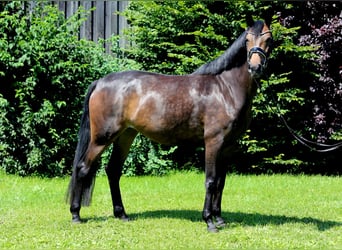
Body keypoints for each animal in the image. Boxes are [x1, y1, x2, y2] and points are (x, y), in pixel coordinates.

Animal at [68, 18, 274, 232]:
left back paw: (121, 214)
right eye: (247, 40)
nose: (255, 67)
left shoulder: (228, 146)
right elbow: (210, 181)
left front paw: (219, 219)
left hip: (126, 135)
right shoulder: (213, 142)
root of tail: (100, 82)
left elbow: (220, 182)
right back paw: (76, 215)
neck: (226, 89)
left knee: (113, 170)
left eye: (269, 39)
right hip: (102, 137)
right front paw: (209, 221)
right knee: (82, 168)